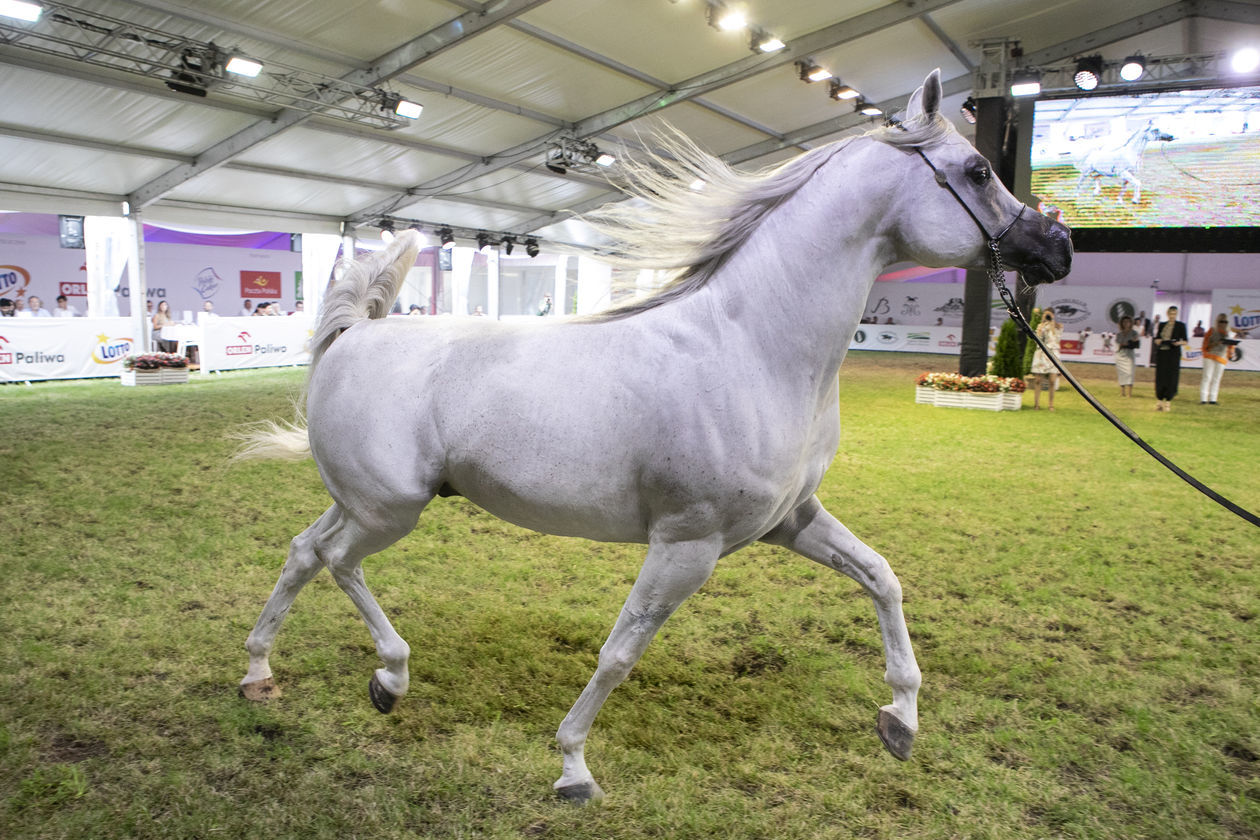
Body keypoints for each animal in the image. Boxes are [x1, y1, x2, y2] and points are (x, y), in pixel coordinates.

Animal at [238, 68, 1073, 805]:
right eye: (976, 170)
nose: (1057, 248)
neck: (752, 347)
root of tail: (352, 335)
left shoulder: (791, 521)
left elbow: (882, 577)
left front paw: (900, 720)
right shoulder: (687, 545)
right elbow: (621, 650)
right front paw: (573, 767)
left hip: (364, 501)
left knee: (305, 551)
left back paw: (259, 672)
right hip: (391, 509)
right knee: (339, 562)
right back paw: (390, 676)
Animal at [1033, 85, 1260, 230]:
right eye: (1156, 129)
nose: (1171, 137)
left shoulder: (1126, 174)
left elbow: (1126, 186)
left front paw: (1122, 200)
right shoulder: (1125, 172)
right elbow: (1136, 183)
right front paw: (1133, 199)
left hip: (1097, 171)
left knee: (1096, 181)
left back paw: (1095, 193)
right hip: (1088, 170)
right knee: (1081, 183)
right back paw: (1077, 197)